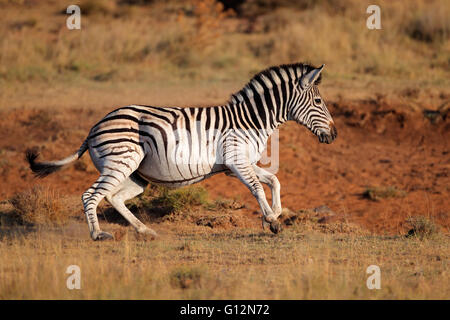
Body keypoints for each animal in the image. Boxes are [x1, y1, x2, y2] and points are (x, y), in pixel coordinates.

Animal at [27, 63, 338, 240]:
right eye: (319, 101)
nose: (334, 135)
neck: (249, 120)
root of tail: (94, 127)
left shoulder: (239, 164)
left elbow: (274, 180)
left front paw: (273, 215)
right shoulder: (236, 161)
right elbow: (257, 188)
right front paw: (272, 221)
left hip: (135, 175)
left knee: (114, 198)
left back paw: (145, 231)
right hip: (120, 162)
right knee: (91, 195)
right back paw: (98, 234)